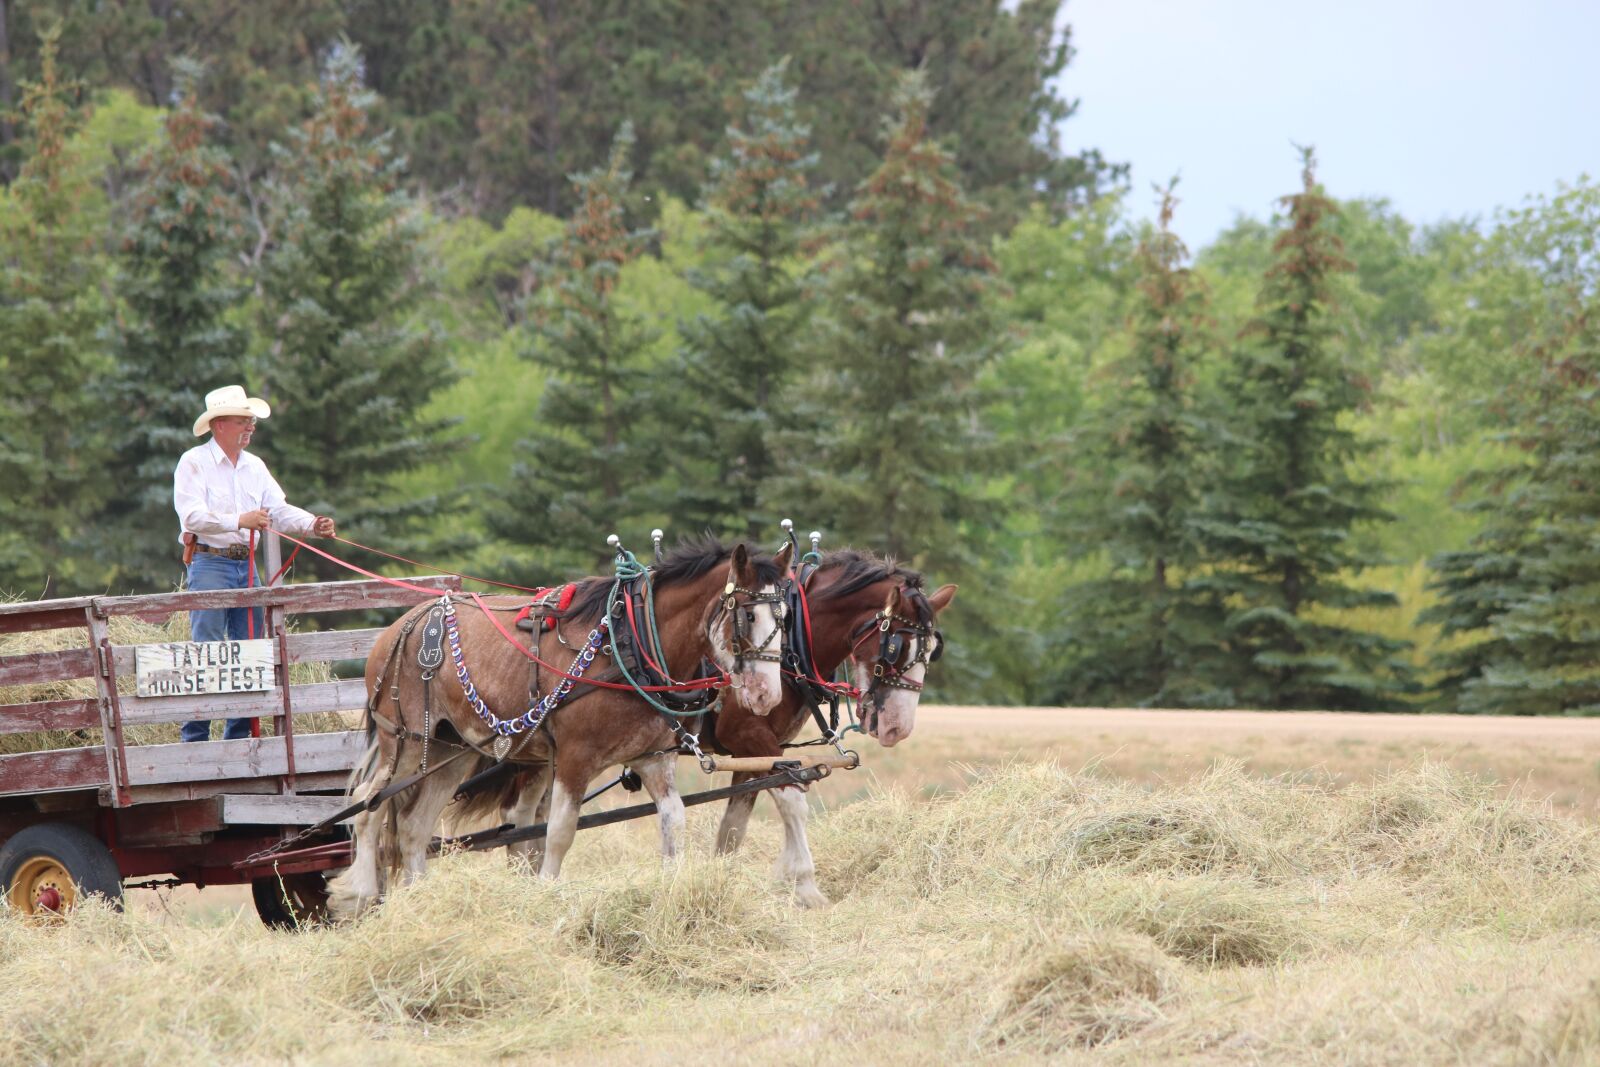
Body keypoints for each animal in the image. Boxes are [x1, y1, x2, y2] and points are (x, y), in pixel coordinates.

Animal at [326, 538, 793, 918]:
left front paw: (674, 892)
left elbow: (673, 820)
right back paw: (361, 894)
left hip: (449, 749)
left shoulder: (654, 758)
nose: (768, 695)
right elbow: (560, 833)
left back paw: (420, 898)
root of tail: (400, 626)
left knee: (413, 826)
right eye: (748, 615)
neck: (630, 643)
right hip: (404, 741)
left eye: (785, 616)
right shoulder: (574, 757)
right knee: (368, 805)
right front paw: (547, 896)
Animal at [708, 548, 957, 907]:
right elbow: (792, 801)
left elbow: (733, 828)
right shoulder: (747, 735)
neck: (790, 640)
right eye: (895, 648)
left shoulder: (754, 752)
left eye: (932, 652)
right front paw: (804, 883)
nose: (899, 728)